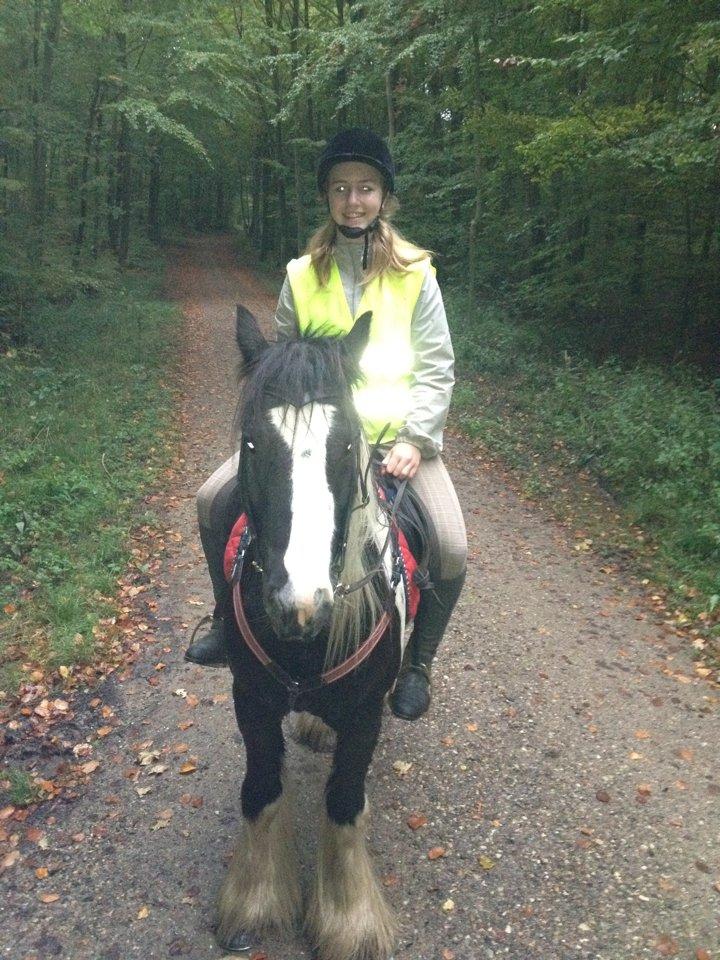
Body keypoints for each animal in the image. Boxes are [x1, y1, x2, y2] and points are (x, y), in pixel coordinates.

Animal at [217, 306, 410, 960]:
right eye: (253, 443)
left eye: (346, 443)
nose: (299, 606)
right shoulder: (250, 699)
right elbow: (259, 790)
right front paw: (254, 904)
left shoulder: (366, 715)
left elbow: (345, 803)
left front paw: (349, 921)